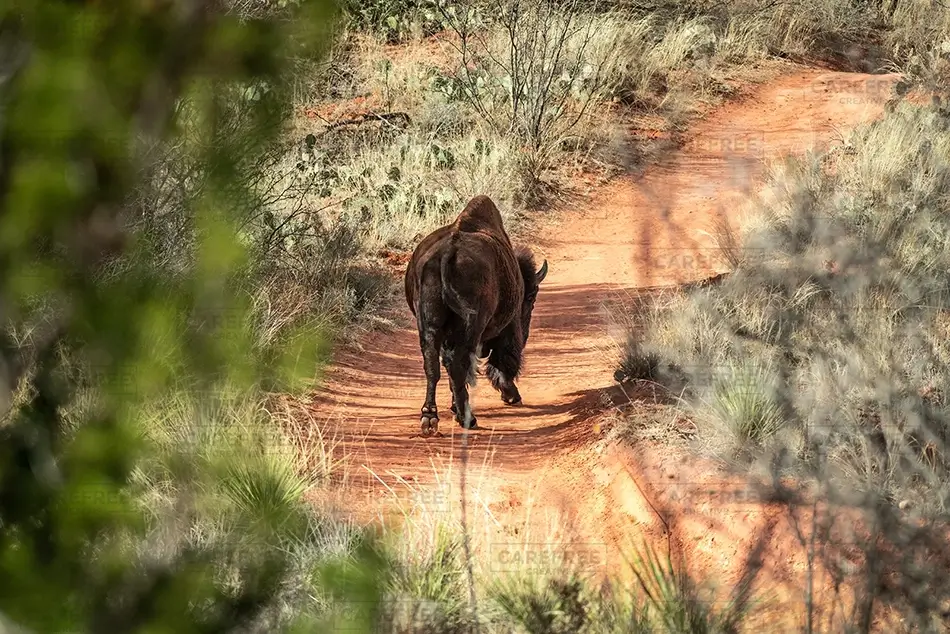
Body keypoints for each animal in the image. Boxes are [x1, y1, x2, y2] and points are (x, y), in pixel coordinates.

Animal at [404, 195, 548, 436]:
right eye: (531, 297)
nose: (526, 332)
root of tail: (448, 253)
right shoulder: (508, 327)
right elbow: (503, 358)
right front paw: (511, 395)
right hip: (471, 327)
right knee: (457, 364)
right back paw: (467, 419)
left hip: (429, 327)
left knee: (433, 366)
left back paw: (430, 418)